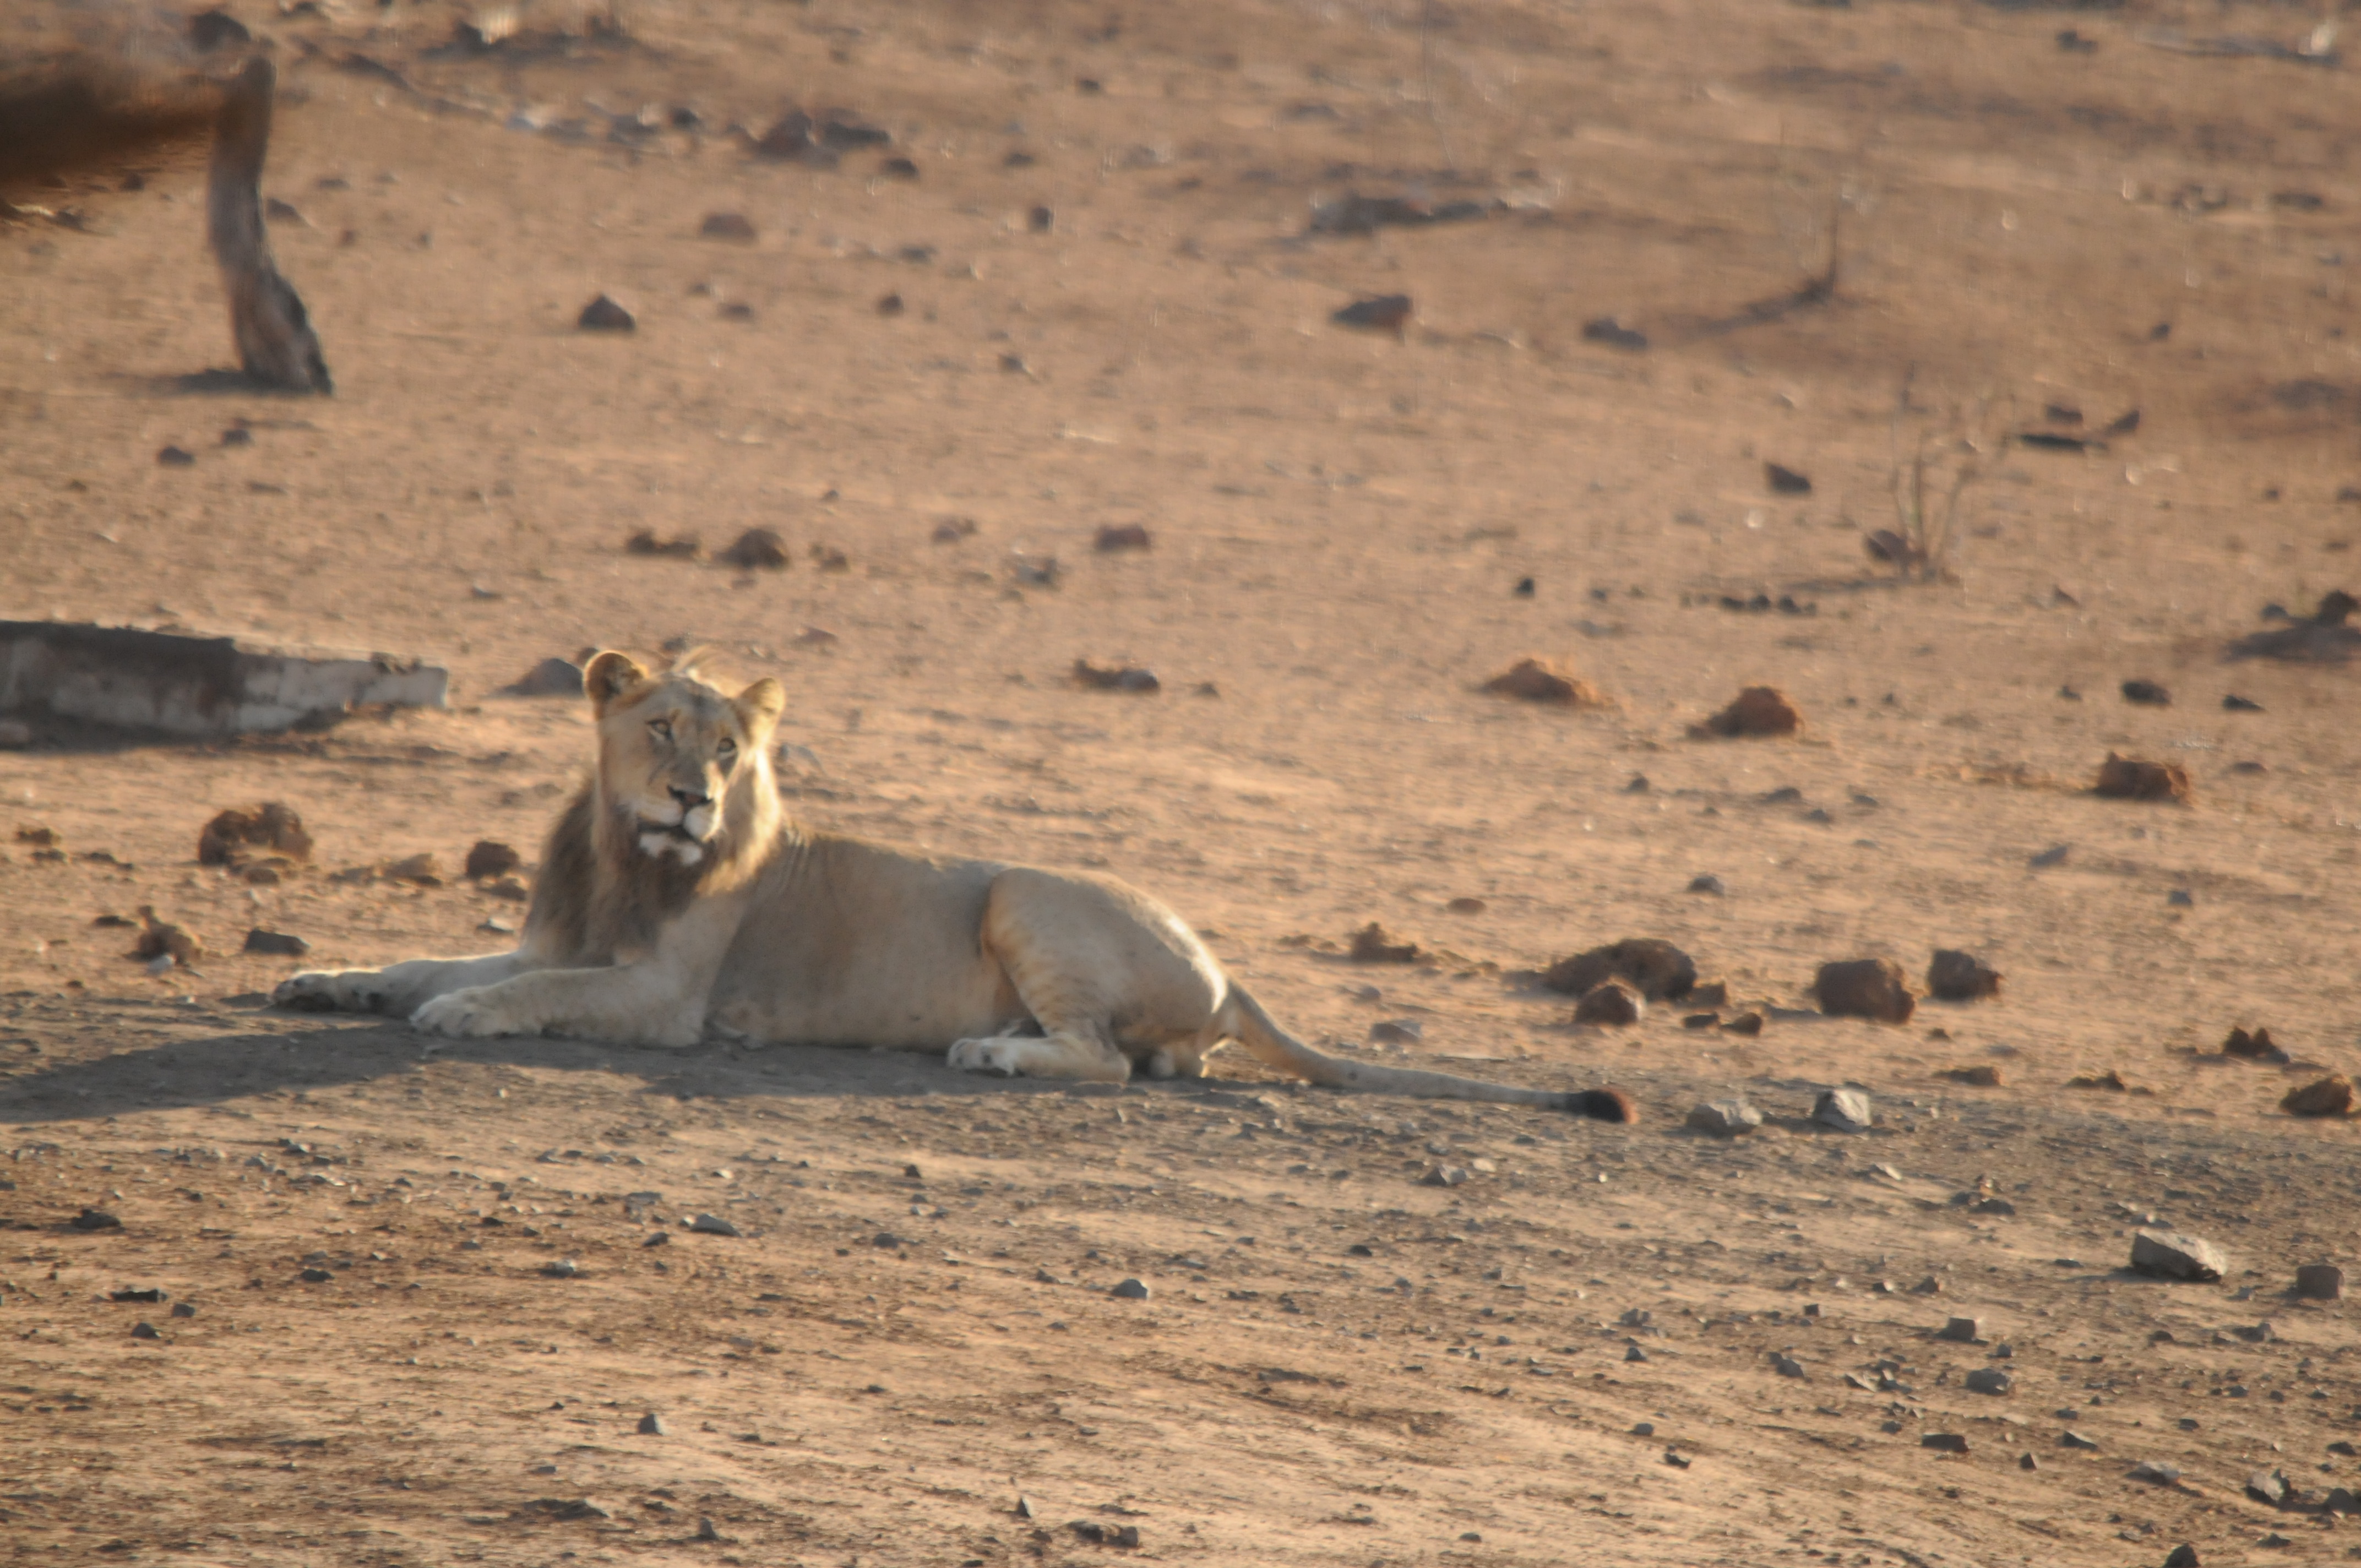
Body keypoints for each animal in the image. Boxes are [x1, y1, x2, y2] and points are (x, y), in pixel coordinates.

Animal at [273, 650, 1637, 1119]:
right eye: (660, 727)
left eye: (731, 748)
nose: (695, 799)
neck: (625, 856)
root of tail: (1225, 962)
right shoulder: (551, 936)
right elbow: (424, 957)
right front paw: (325, 980)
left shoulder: (663, 997)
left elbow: (520, 994)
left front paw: (456, 1016)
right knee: (1152, 1064)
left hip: (1019, 891)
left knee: (1101, 1060)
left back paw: (995, 1052)